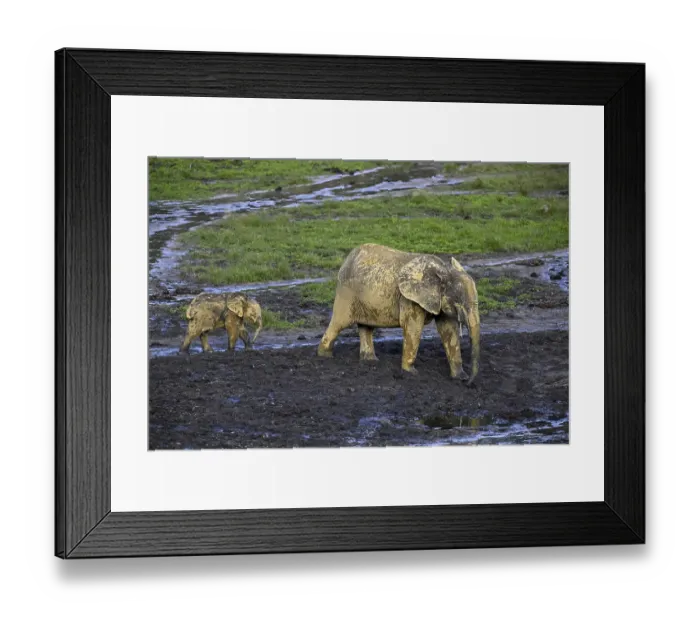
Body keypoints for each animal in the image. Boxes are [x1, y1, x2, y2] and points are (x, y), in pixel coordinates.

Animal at [317, 243, 480, 383]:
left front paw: (460, 377)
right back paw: (324, 356)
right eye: (460, 302)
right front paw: (411, 373)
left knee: (366, 326)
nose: (470, 383)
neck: (443, 271)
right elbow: (413, 329)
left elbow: (449, 330)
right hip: (346, 293)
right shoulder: (409, 298)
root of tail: (347, 258)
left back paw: (370, 361)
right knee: (339, 323)